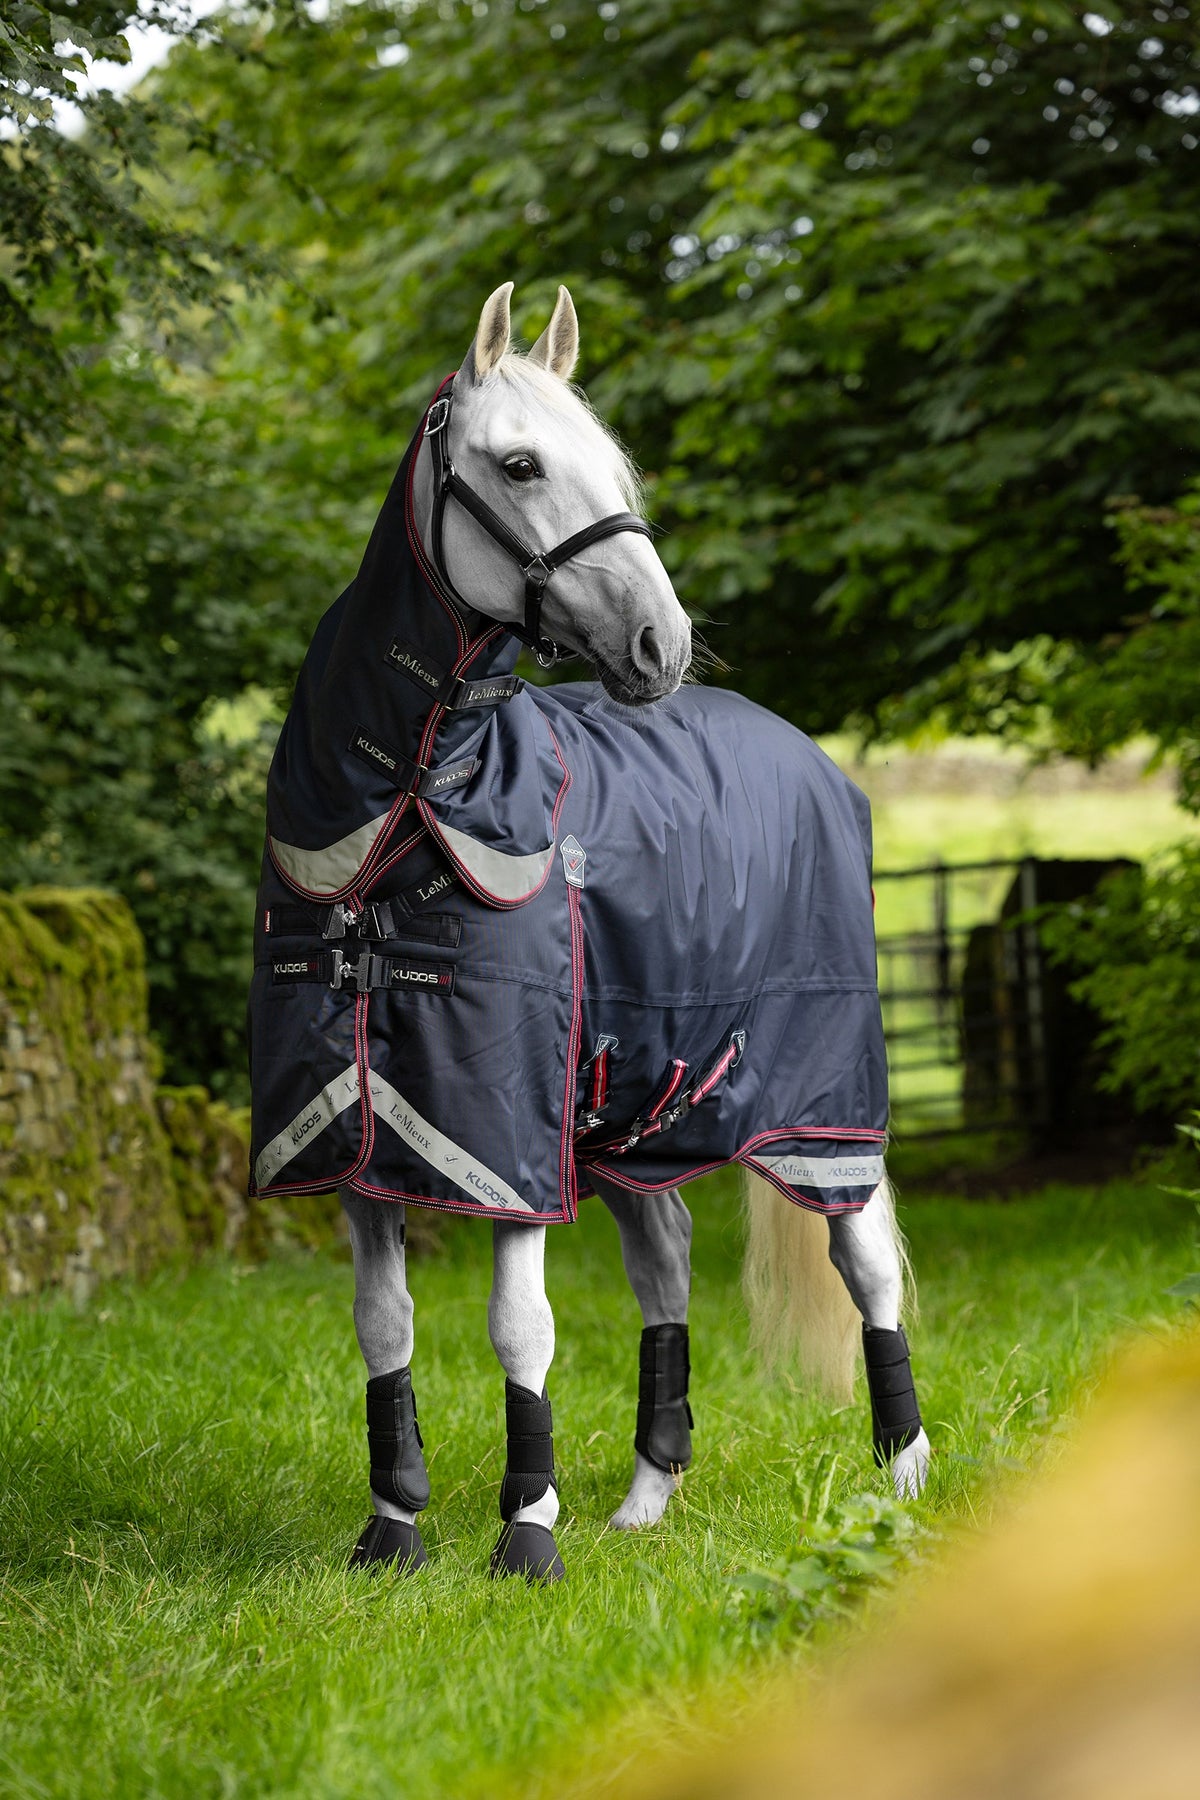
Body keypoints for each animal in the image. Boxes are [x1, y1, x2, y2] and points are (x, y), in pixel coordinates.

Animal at [248, 281, 930, 1582]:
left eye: (614, 469)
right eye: (519, 465)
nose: (662, 646)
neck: (413, 801)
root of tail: (810, 755)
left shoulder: (507, 1146)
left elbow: (521, 1326)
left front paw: (527, 1531)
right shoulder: (360, 1141)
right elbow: (383, 1322)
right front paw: (393, 1528)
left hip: (826, 1115)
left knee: (867, 1263)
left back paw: (906, 1482)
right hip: (633, 1118)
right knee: (666, 1260)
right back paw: (647, 1499)